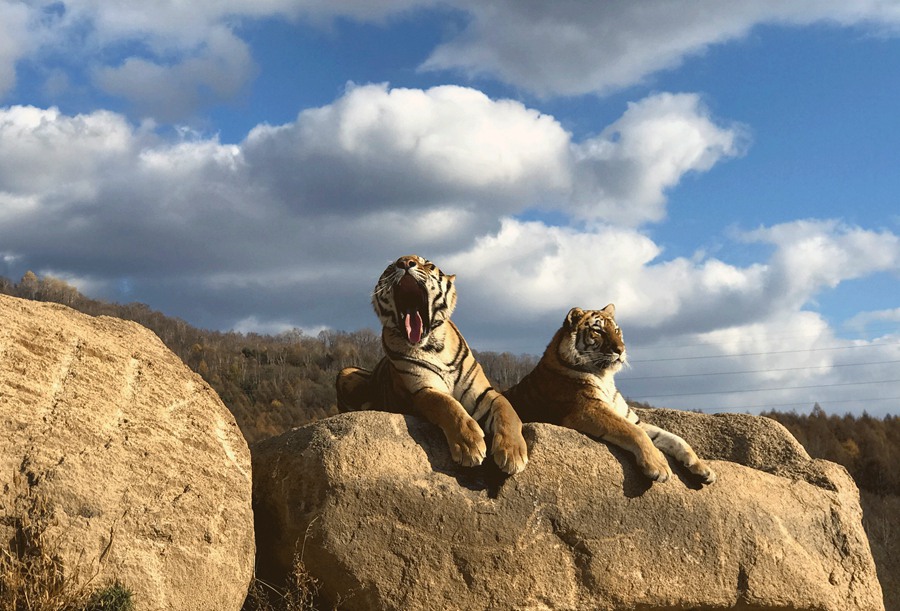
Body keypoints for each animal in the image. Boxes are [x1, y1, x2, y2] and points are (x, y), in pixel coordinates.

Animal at [336, 256, 528, 476]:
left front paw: (513, 453)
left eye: (427, 264)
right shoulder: (423, 390)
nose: (404, 262)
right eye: (390, 268)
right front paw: (469, 446)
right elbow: (448, 406)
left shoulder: (484, 393)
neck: (433, 346)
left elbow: (508, 410)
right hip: (346, 371)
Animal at [502, 304, 712, 486]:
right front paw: (659, 467)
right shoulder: (589, 409)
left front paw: (704, 469)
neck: (605, 377)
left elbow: (674, 438)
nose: (621, 350)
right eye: (599, 331)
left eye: (617, 331)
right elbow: (636, 433)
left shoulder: (632, 418)